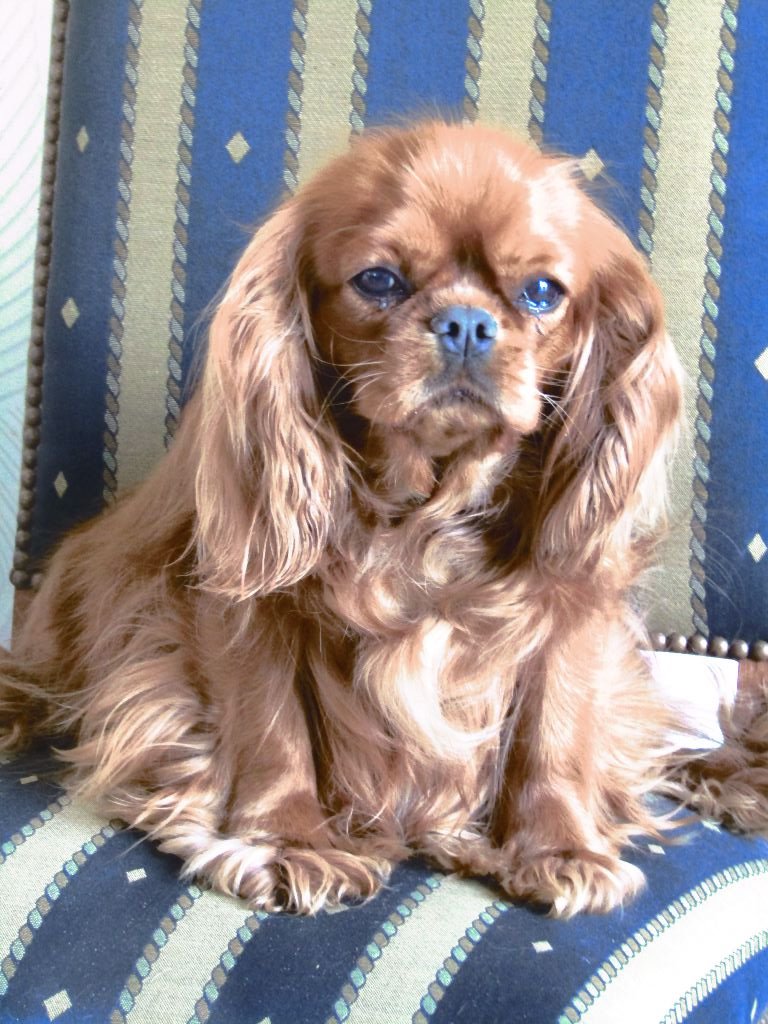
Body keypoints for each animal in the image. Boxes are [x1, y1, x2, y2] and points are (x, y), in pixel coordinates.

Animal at [2, 120, 766, 917]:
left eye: (541, 293)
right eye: (378, 281)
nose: (467, 323)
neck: (426, 507)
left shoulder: (572, 609)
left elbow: (554, 731)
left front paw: (558, 848)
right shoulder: (241, 605)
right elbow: (270, 727)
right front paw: (286, 840)